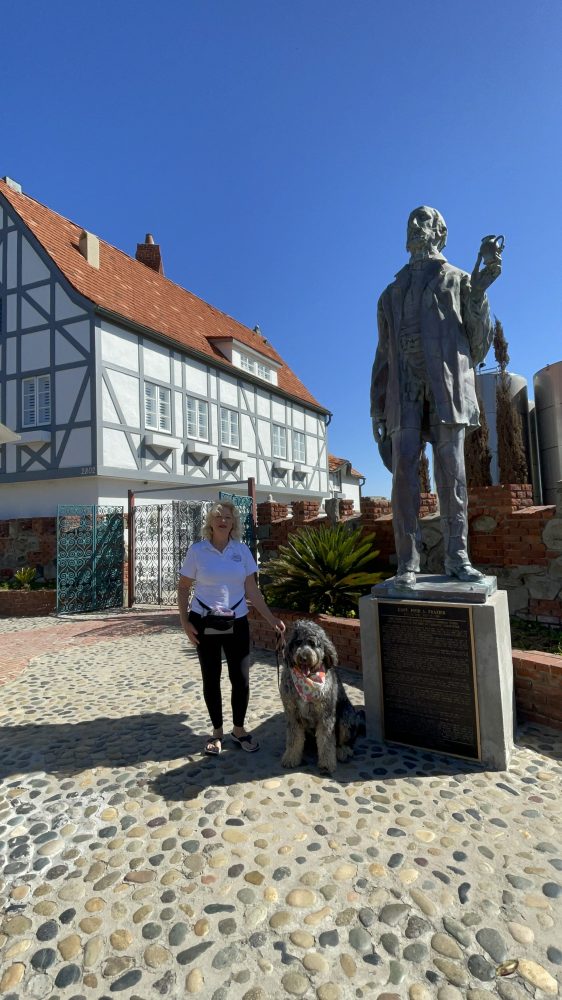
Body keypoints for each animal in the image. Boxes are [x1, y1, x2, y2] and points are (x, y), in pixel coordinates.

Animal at [278, 616, 366, 772]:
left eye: (313, 644)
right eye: (298, 642)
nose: (304, 657)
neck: (307, 681)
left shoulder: (326, 714)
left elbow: (326, 742)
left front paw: (327, 763)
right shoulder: (292, 713)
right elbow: (294, 739)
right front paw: (291, 758)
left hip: (346, 716)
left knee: (346, 741)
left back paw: (343, 751)